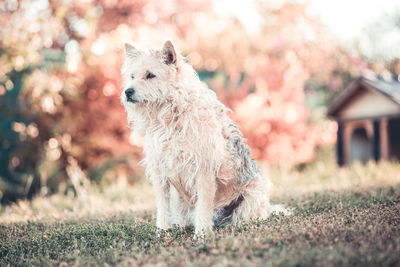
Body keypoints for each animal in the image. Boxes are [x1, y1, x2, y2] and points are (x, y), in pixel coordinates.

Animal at [120, 39, 286, 237]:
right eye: (132, 76)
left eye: (150, 75)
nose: (128, 92)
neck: (171, 116)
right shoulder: (160, 171)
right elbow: (162, 207)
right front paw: (163, 232)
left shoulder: (204, 169)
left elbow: (204, 205)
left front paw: (201, 234)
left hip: (253, 193)